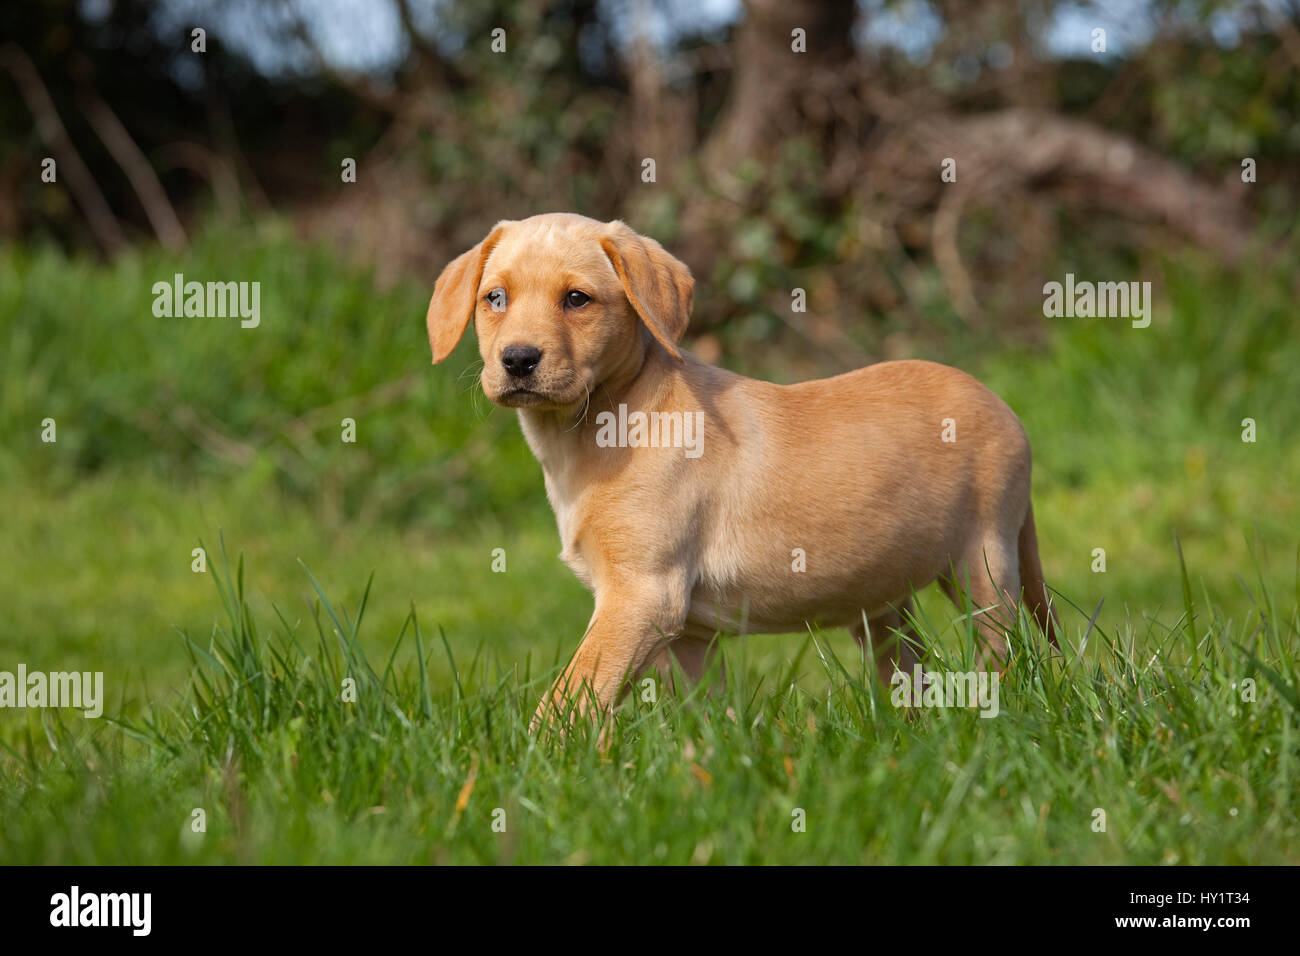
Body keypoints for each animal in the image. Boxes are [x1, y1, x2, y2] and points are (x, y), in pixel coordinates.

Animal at [426, 213, 1055, 723]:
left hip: (984, 561)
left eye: (578, 299)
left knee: (1003, 656)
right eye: (494, 299)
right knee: (909, 675)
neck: (602, 422)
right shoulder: (685, 631)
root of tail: (1003, 406)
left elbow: (570, 697)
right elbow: (710, 715)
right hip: (882, 601)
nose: (517, 360)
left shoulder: (641, 596)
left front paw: (535, 765)